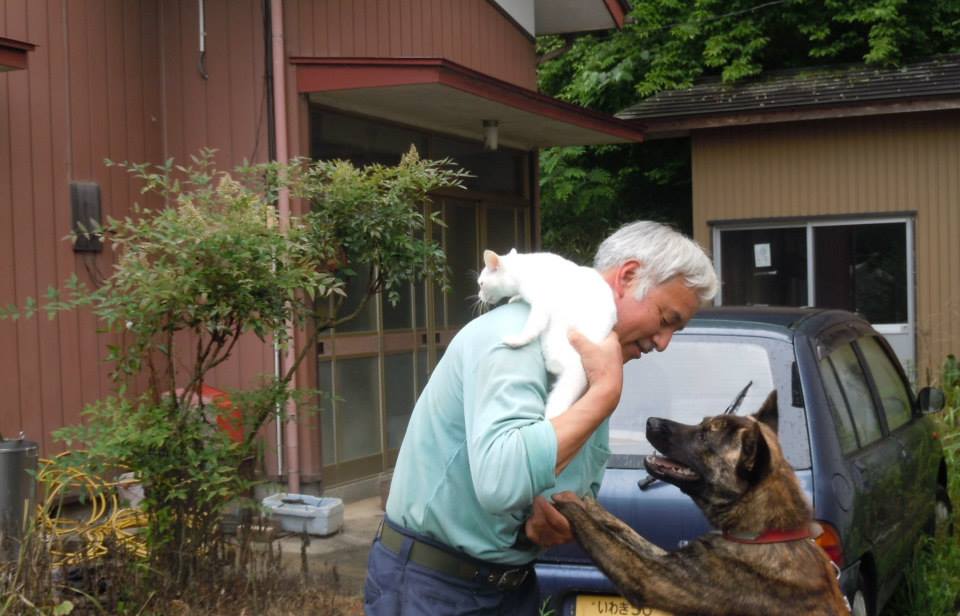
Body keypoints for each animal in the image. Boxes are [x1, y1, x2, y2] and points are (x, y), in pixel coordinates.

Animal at [478, 249, 620, 418]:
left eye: (481, 284)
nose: (478, 295)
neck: (523, 269)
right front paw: (515, 298)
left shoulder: (541, 305)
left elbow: (532, 327)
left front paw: (518, 340)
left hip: (554, 341)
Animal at [556, 392, 848, 612]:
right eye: (702, 423)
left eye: (704, 436)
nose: (650, 421)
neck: (763, 534)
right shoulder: (666, 559)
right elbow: (621, 528)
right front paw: (586, 502)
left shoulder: (647, 575)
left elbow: (601, 535)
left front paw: (563, 502)